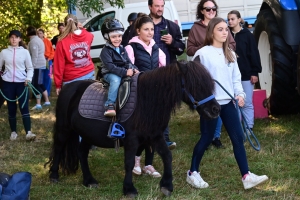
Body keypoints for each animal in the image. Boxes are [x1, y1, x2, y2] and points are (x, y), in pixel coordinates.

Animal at [46, 60, 220, 198]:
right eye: (196, 85)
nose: (216, 109)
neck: (147, 99)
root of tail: (68, 88)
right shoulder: (131, 140)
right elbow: (129, 163)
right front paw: (129, 189)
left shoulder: (155, 136)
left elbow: (167, 156)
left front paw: (167, 185)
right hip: (64, 129)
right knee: (59, 148)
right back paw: (54, 176)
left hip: (88, 134)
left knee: (82, 152)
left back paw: (89, 180)